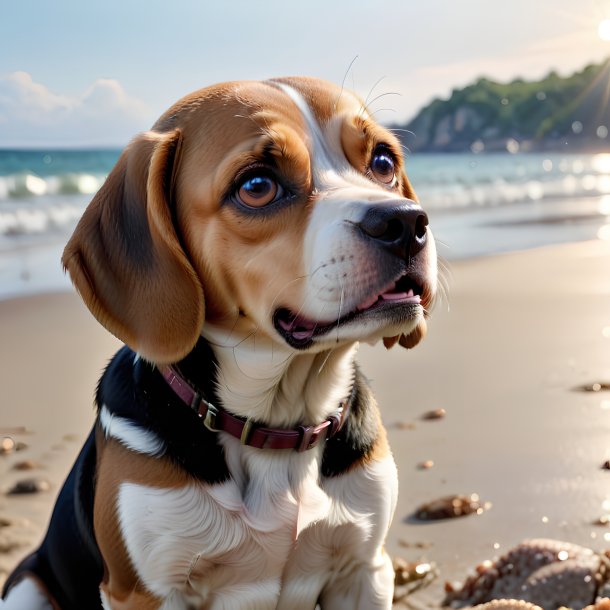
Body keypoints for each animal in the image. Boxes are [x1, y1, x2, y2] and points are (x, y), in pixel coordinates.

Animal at [1, 77, 436, 608]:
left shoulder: (364, 568)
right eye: (257, 186)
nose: (406, 223)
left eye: (383, 162)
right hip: (27, 586)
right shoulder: (144, 593)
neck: (278, 423)